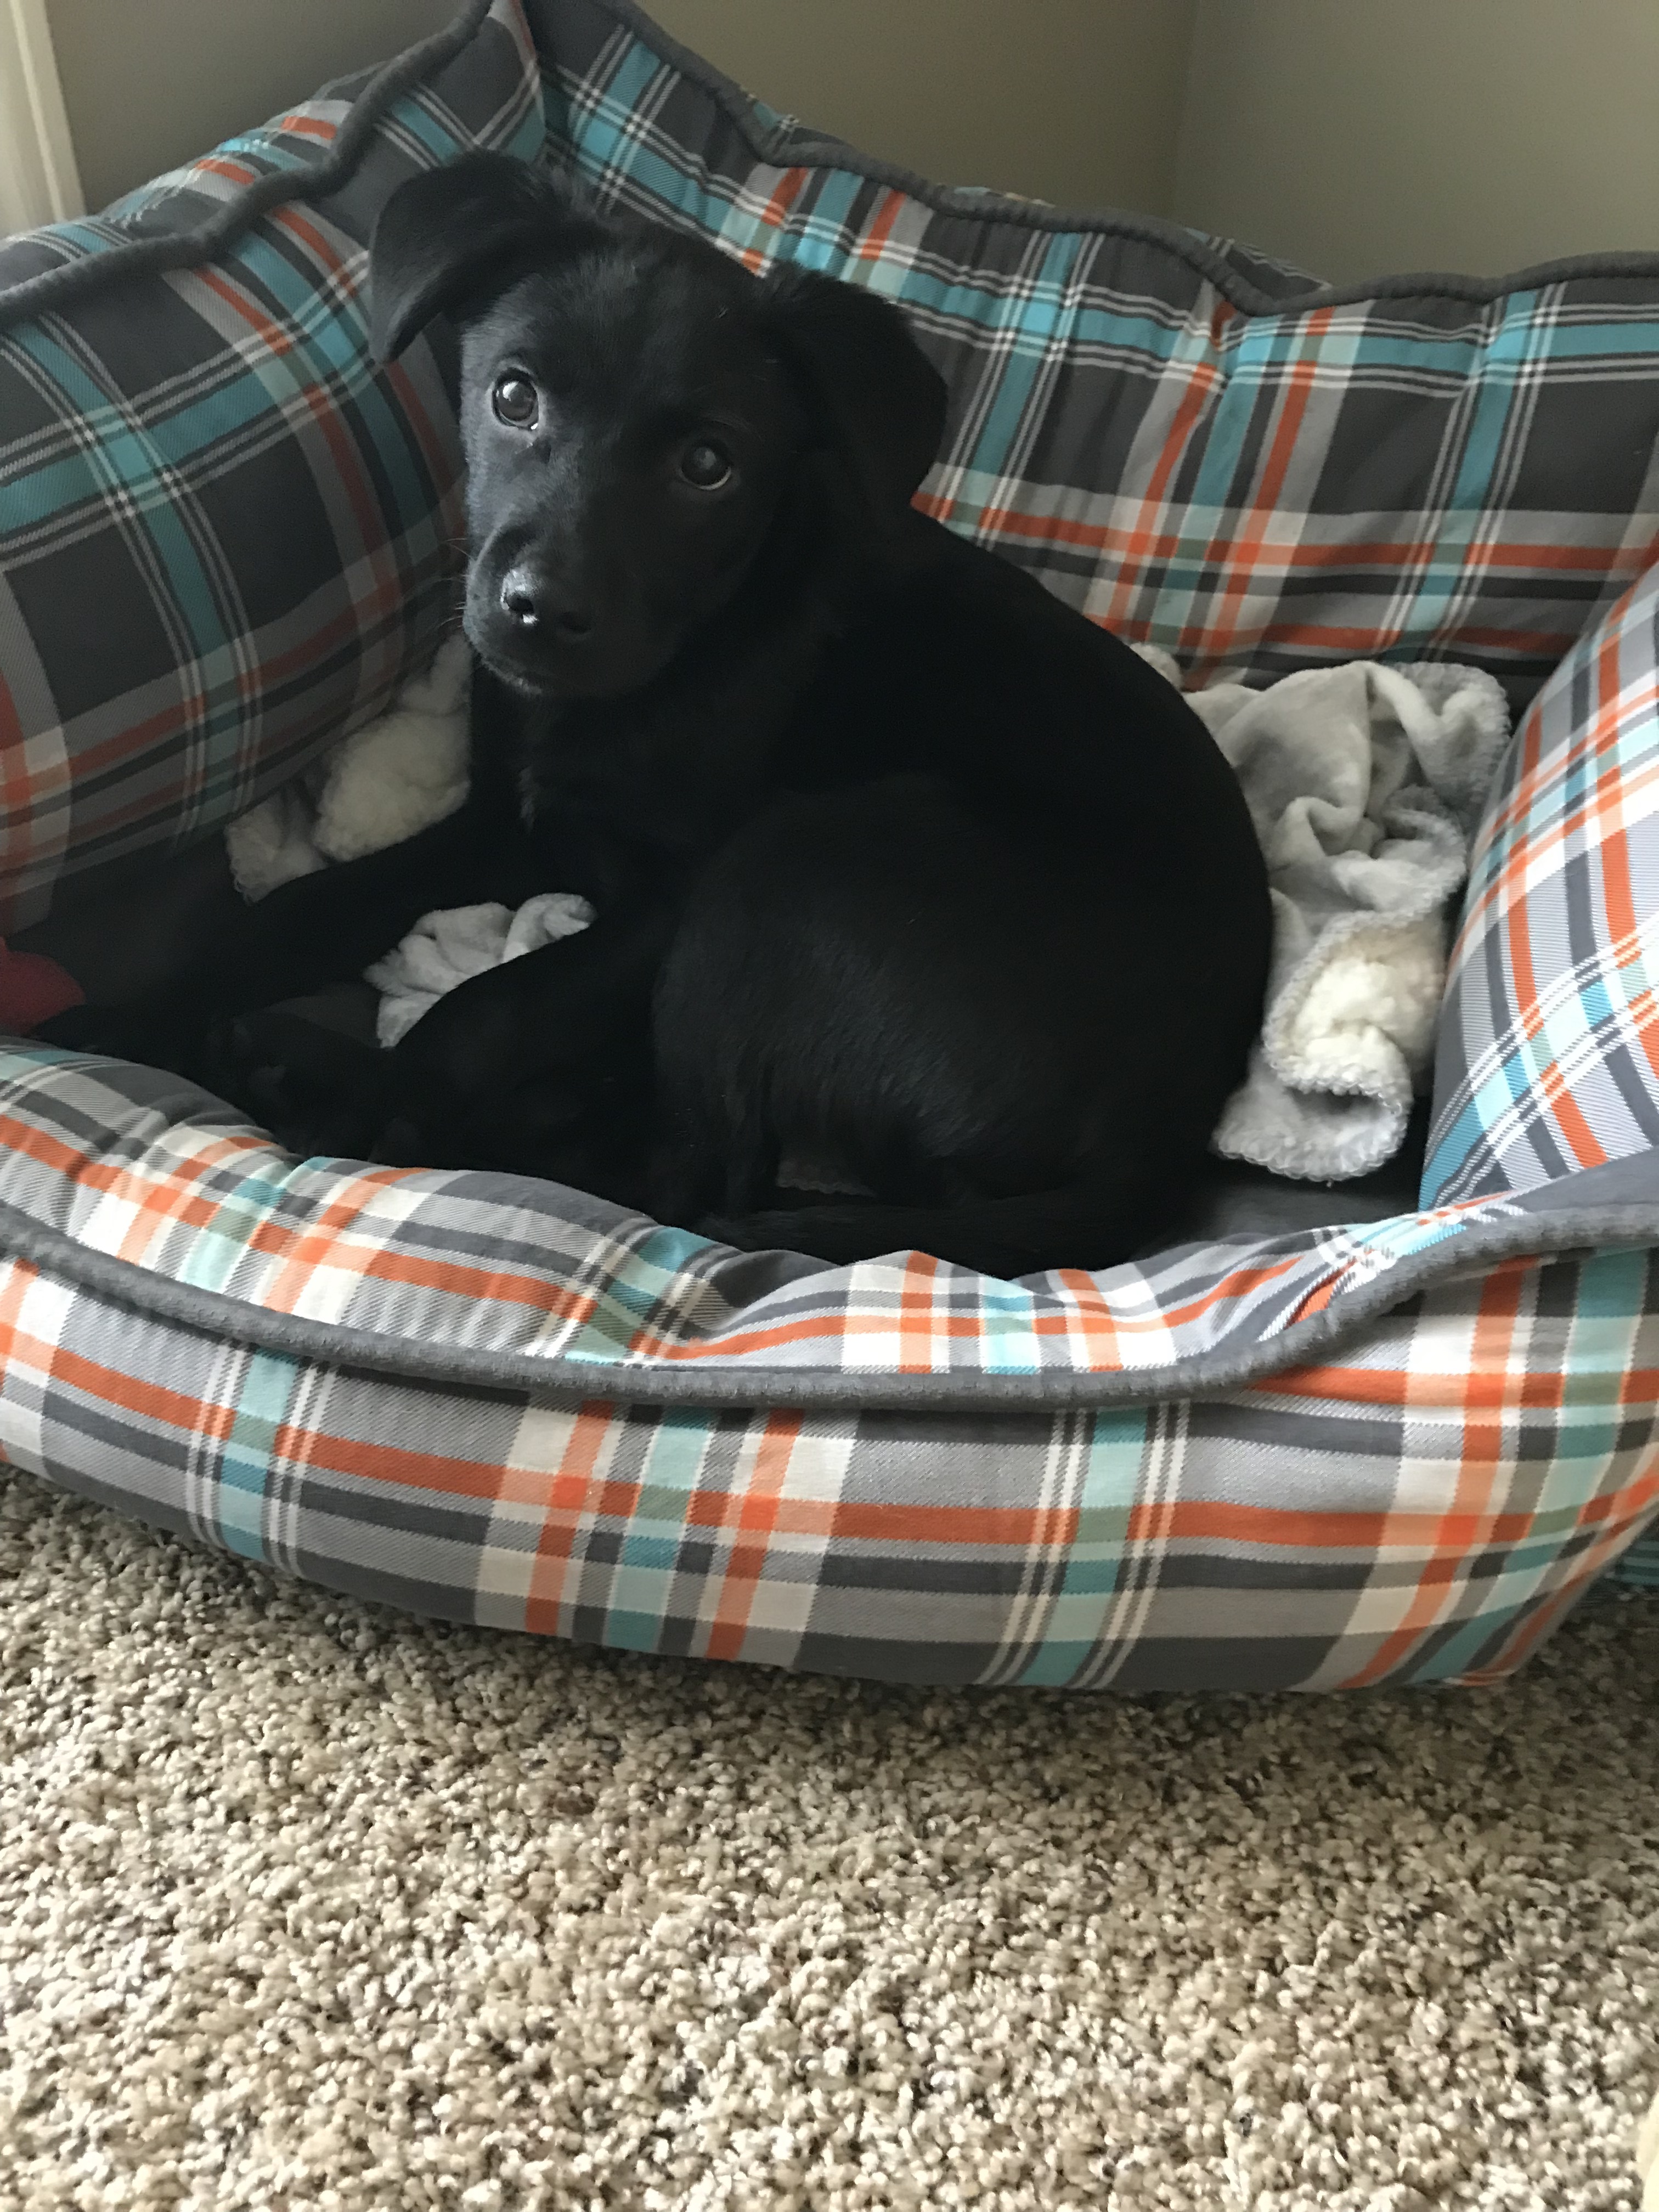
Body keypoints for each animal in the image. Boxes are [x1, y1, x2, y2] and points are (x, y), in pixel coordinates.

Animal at [51, 152, 1272, 1278]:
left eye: (707, 466)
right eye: (512, 396)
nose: (538, 613)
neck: (680, 660)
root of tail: (1155, 1143)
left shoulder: (668, 898)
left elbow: (490, 1008)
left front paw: (368, 1108)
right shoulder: (506, 827)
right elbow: (308, 907)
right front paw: (130, 1016)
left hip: (790, 866)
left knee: (689, 1178)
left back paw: (313, 1079)